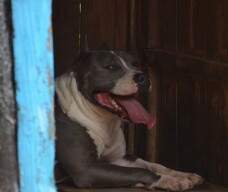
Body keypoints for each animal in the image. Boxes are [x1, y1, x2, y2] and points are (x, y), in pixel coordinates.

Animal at [54, 50, 203, 191]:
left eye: (135, 64)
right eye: (111, 67)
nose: (143, 77)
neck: (103, 120)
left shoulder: (117, 158)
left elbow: (151, 165)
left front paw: (183, 174)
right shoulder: (85, 169)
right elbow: (137, 171)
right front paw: (169, 180)